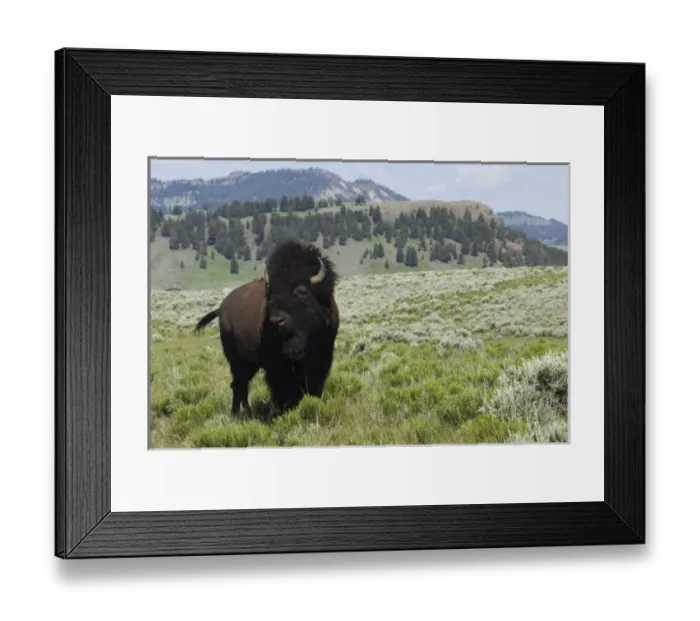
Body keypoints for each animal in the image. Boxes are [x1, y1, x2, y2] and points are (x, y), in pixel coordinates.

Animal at [194, 240, 340, 415]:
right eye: (271, 292)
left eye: (302, 291)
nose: (277, 320)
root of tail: (222, 307)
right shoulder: (276, 365)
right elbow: (281, 388)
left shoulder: (322, 357)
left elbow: (312, 384)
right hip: (235, 359)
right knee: (238, 384)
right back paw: (237, 413)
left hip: (249, 363)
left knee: (242, 384)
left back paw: (246, 412)